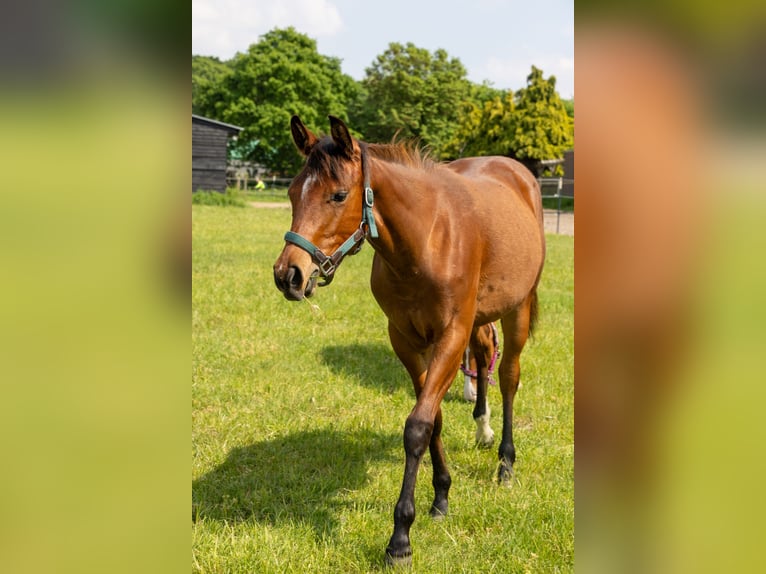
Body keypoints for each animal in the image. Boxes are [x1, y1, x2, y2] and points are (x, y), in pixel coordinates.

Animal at [273, 115, 546, 566]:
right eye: (293, 192)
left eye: (338, 195)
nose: (288, 275)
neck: (427, 239)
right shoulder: (406, 339)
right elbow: (432, 418)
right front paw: (441, 496)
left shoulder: (450, 336)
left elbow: (417, 426)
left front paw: (400, 537)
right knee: (484, 354)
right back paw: (482, 430)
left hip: (517, 308)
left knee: (508, 375)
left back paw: (505, 464)